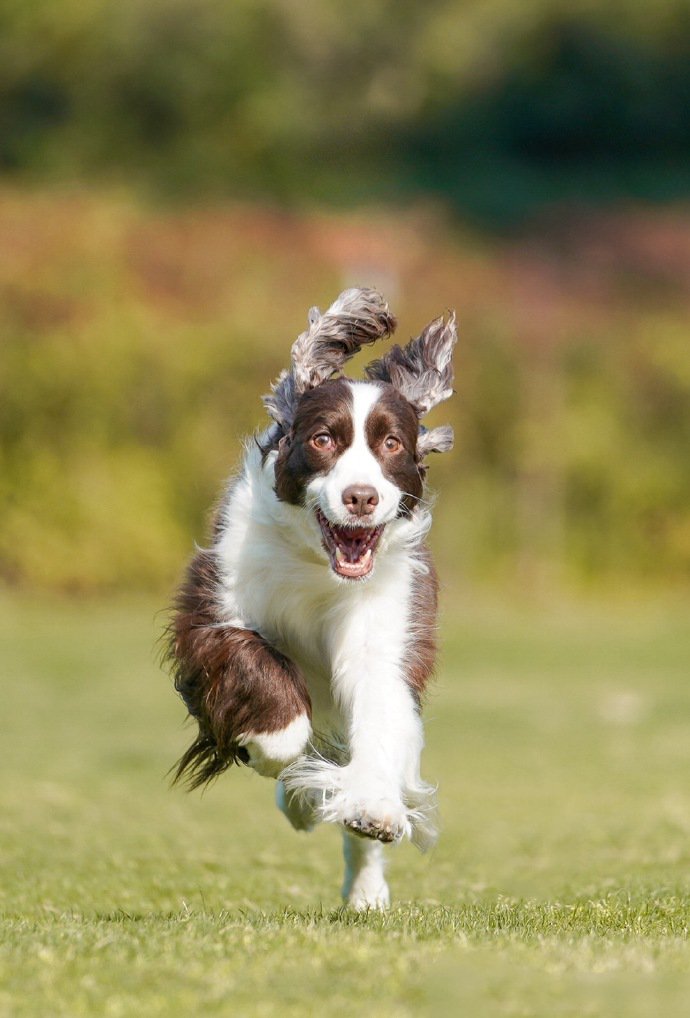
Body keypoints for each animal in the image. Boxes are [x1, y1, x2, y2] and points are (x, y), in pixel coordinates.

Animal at [166, 287, 455, 908]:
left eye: (391, 443)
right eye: (323, 439)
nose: (361, 497)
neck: (318, 568)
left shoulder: (388, 624)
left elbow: (380, 714)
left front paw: (372, 807)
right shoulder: (214, 603)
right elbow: (259, 675)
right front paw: (279, 759)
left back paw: (365, 887)